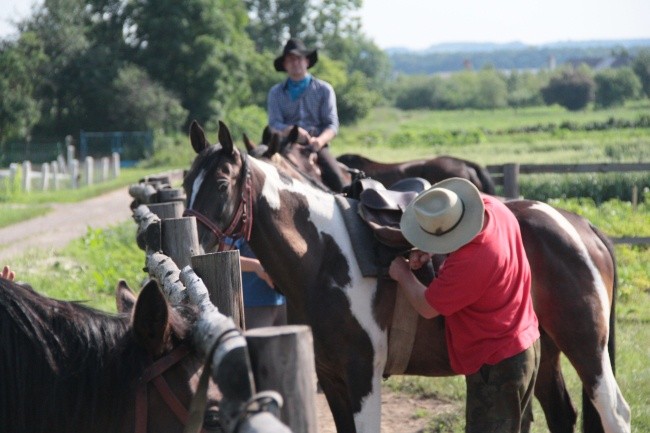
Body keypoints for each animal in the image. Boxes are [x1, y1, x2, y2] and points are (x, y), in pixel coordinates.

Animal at [184, 121, 628, 432]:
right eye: (187, 182)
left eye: (221, 183)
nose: (194, 243)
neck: (325, 256)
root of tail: (583, 227)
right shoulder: (331, 380)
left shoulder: (363, 377)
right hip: (546, 350)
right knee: (562, 414)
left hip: (586, 346)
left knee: (614, 412)